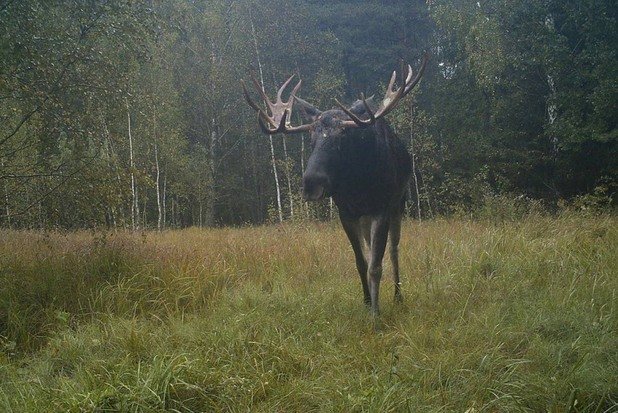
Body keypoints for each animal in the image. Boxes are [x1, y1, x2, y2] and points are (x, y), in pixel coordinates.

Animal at [243, 54, 426, 312]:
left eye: (344, 136)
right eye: (310, 136)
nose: (311, 183)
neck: (358, 187)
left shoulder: (381, 208)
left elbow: (376, 266)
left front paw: (376, 312)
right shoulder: (346, 213)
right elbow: (361, 262)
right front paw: (367, 302)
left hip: (399, 203)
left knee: (394, 250)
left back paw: (398, 295)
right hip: (365, 216)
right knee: (371, 248)